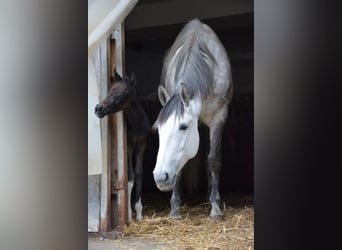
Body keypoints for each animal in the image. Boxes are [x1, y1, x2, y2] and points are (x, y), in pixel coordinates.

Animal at [95, 70, 150, 221]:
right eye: (109, 91)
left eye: (121, 94)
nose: (98, 109)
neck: (137, 123)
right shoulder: (128, 147)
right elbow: (130, 177)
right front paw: (129, 214)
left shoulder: (142, 145)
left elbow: (139, 174)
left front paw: (139, 212)